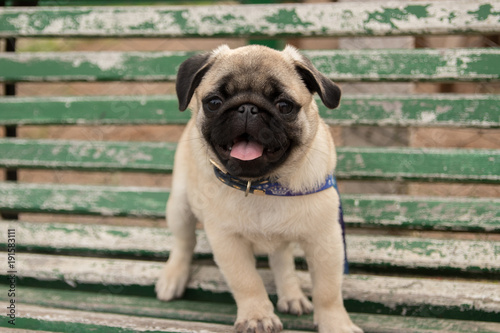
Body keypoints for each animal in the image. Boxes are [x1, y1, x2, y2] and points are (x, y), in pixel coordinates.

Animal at [154, 44, 362, 332]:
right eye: (214, 102)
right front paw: (258, 316)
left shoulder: (325, 240)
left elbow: (328, 290)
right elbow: (247, 281)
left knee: (282, 259)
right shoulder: (227, 240)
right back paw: (173, 277)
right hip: (180, 206)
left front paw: (336, 324)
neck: (261, 185)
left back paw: (292, 295)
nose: (247, 109)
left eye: (284, 106)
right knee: (184, 242)